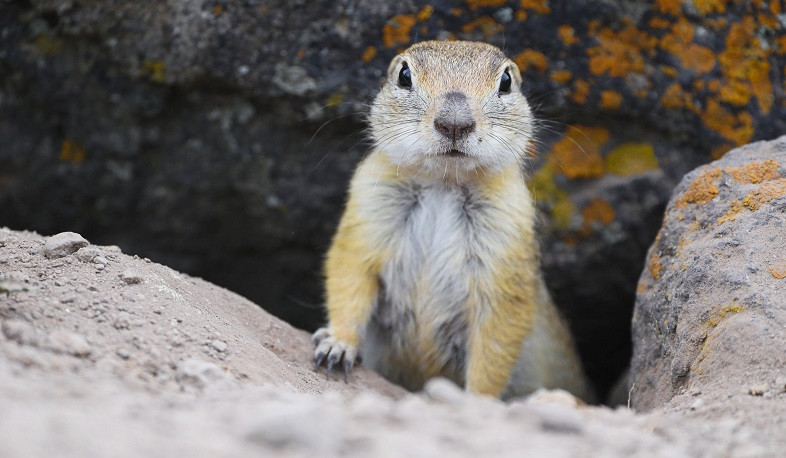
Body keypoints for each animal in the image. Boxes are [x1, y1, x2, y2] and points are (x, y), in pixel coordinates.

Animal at [310, 42, 592, 400]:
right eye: (404, 75)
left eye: (506, 82)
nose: (454, 123)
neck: (443, 183)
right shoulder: (367, 217)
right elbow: (349, 280)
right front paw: (337, 345)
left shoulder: (503, 254)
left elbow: (495, 343)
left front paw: (475, 400)